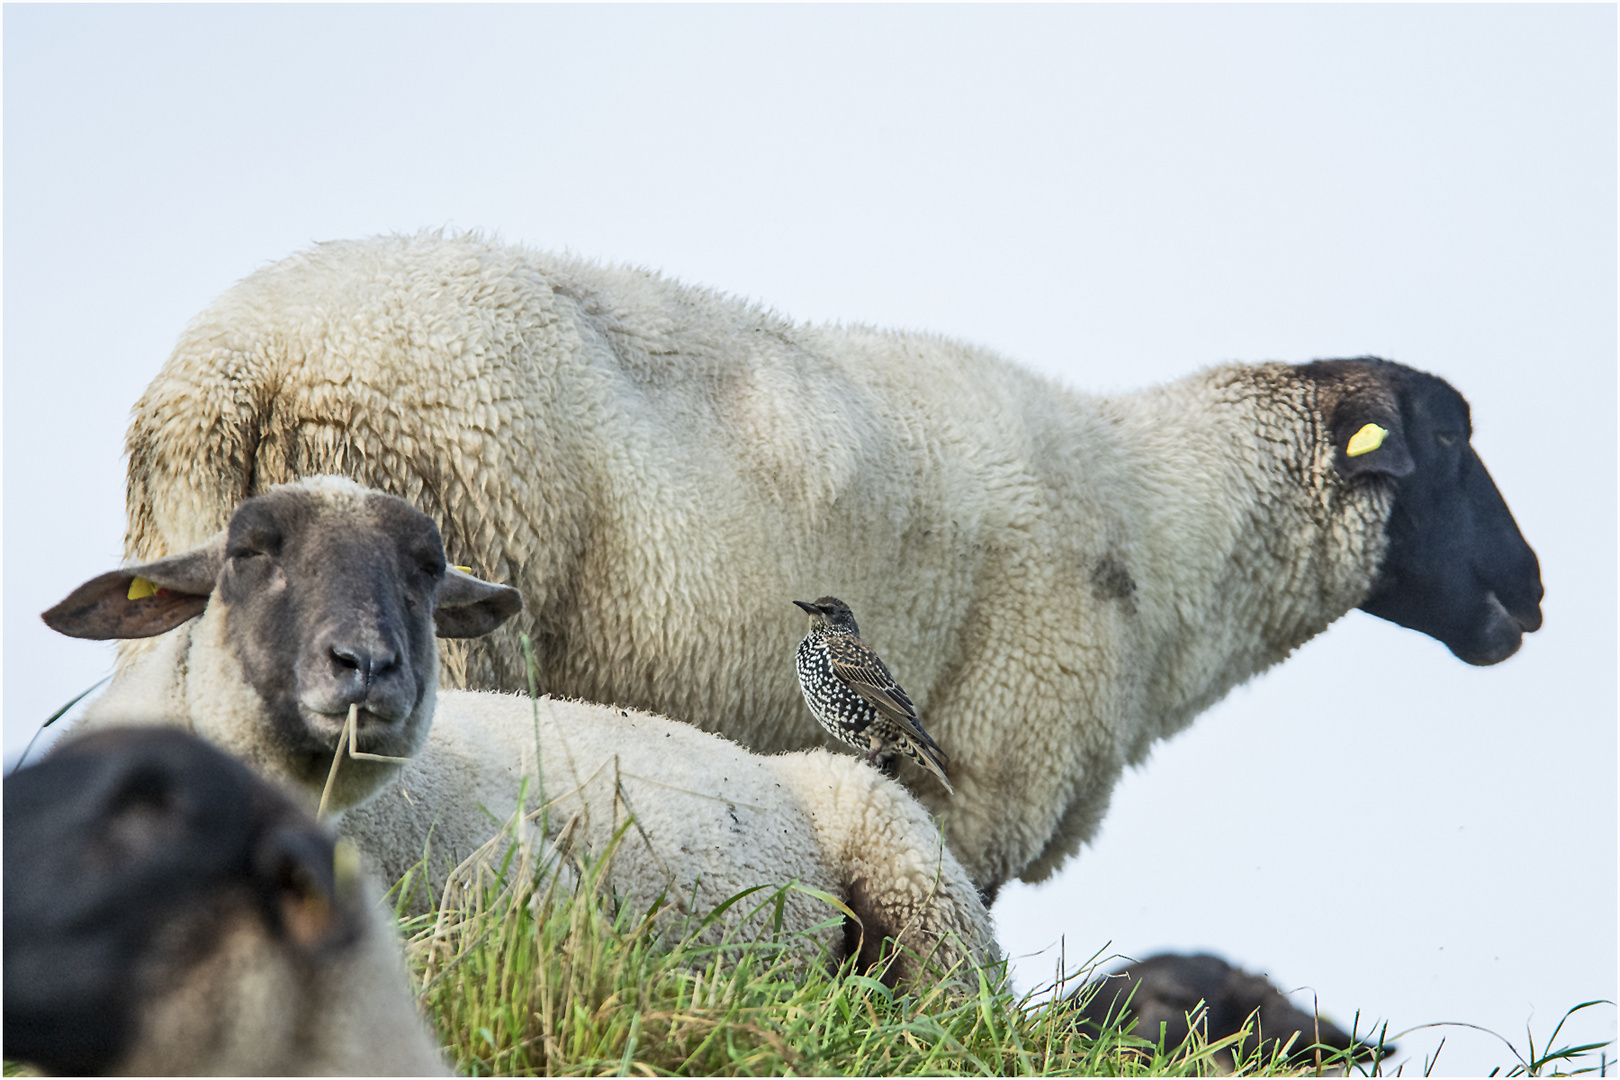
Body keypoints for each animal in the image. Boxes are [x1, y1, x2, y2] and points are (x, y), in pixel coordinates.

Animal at [117, 233, 1542, 900]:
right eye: (1449, 439)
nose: (1532, 596)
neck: (1163, 518)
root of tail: (237, 364)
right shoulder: (985, 778)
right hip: (456, 612)